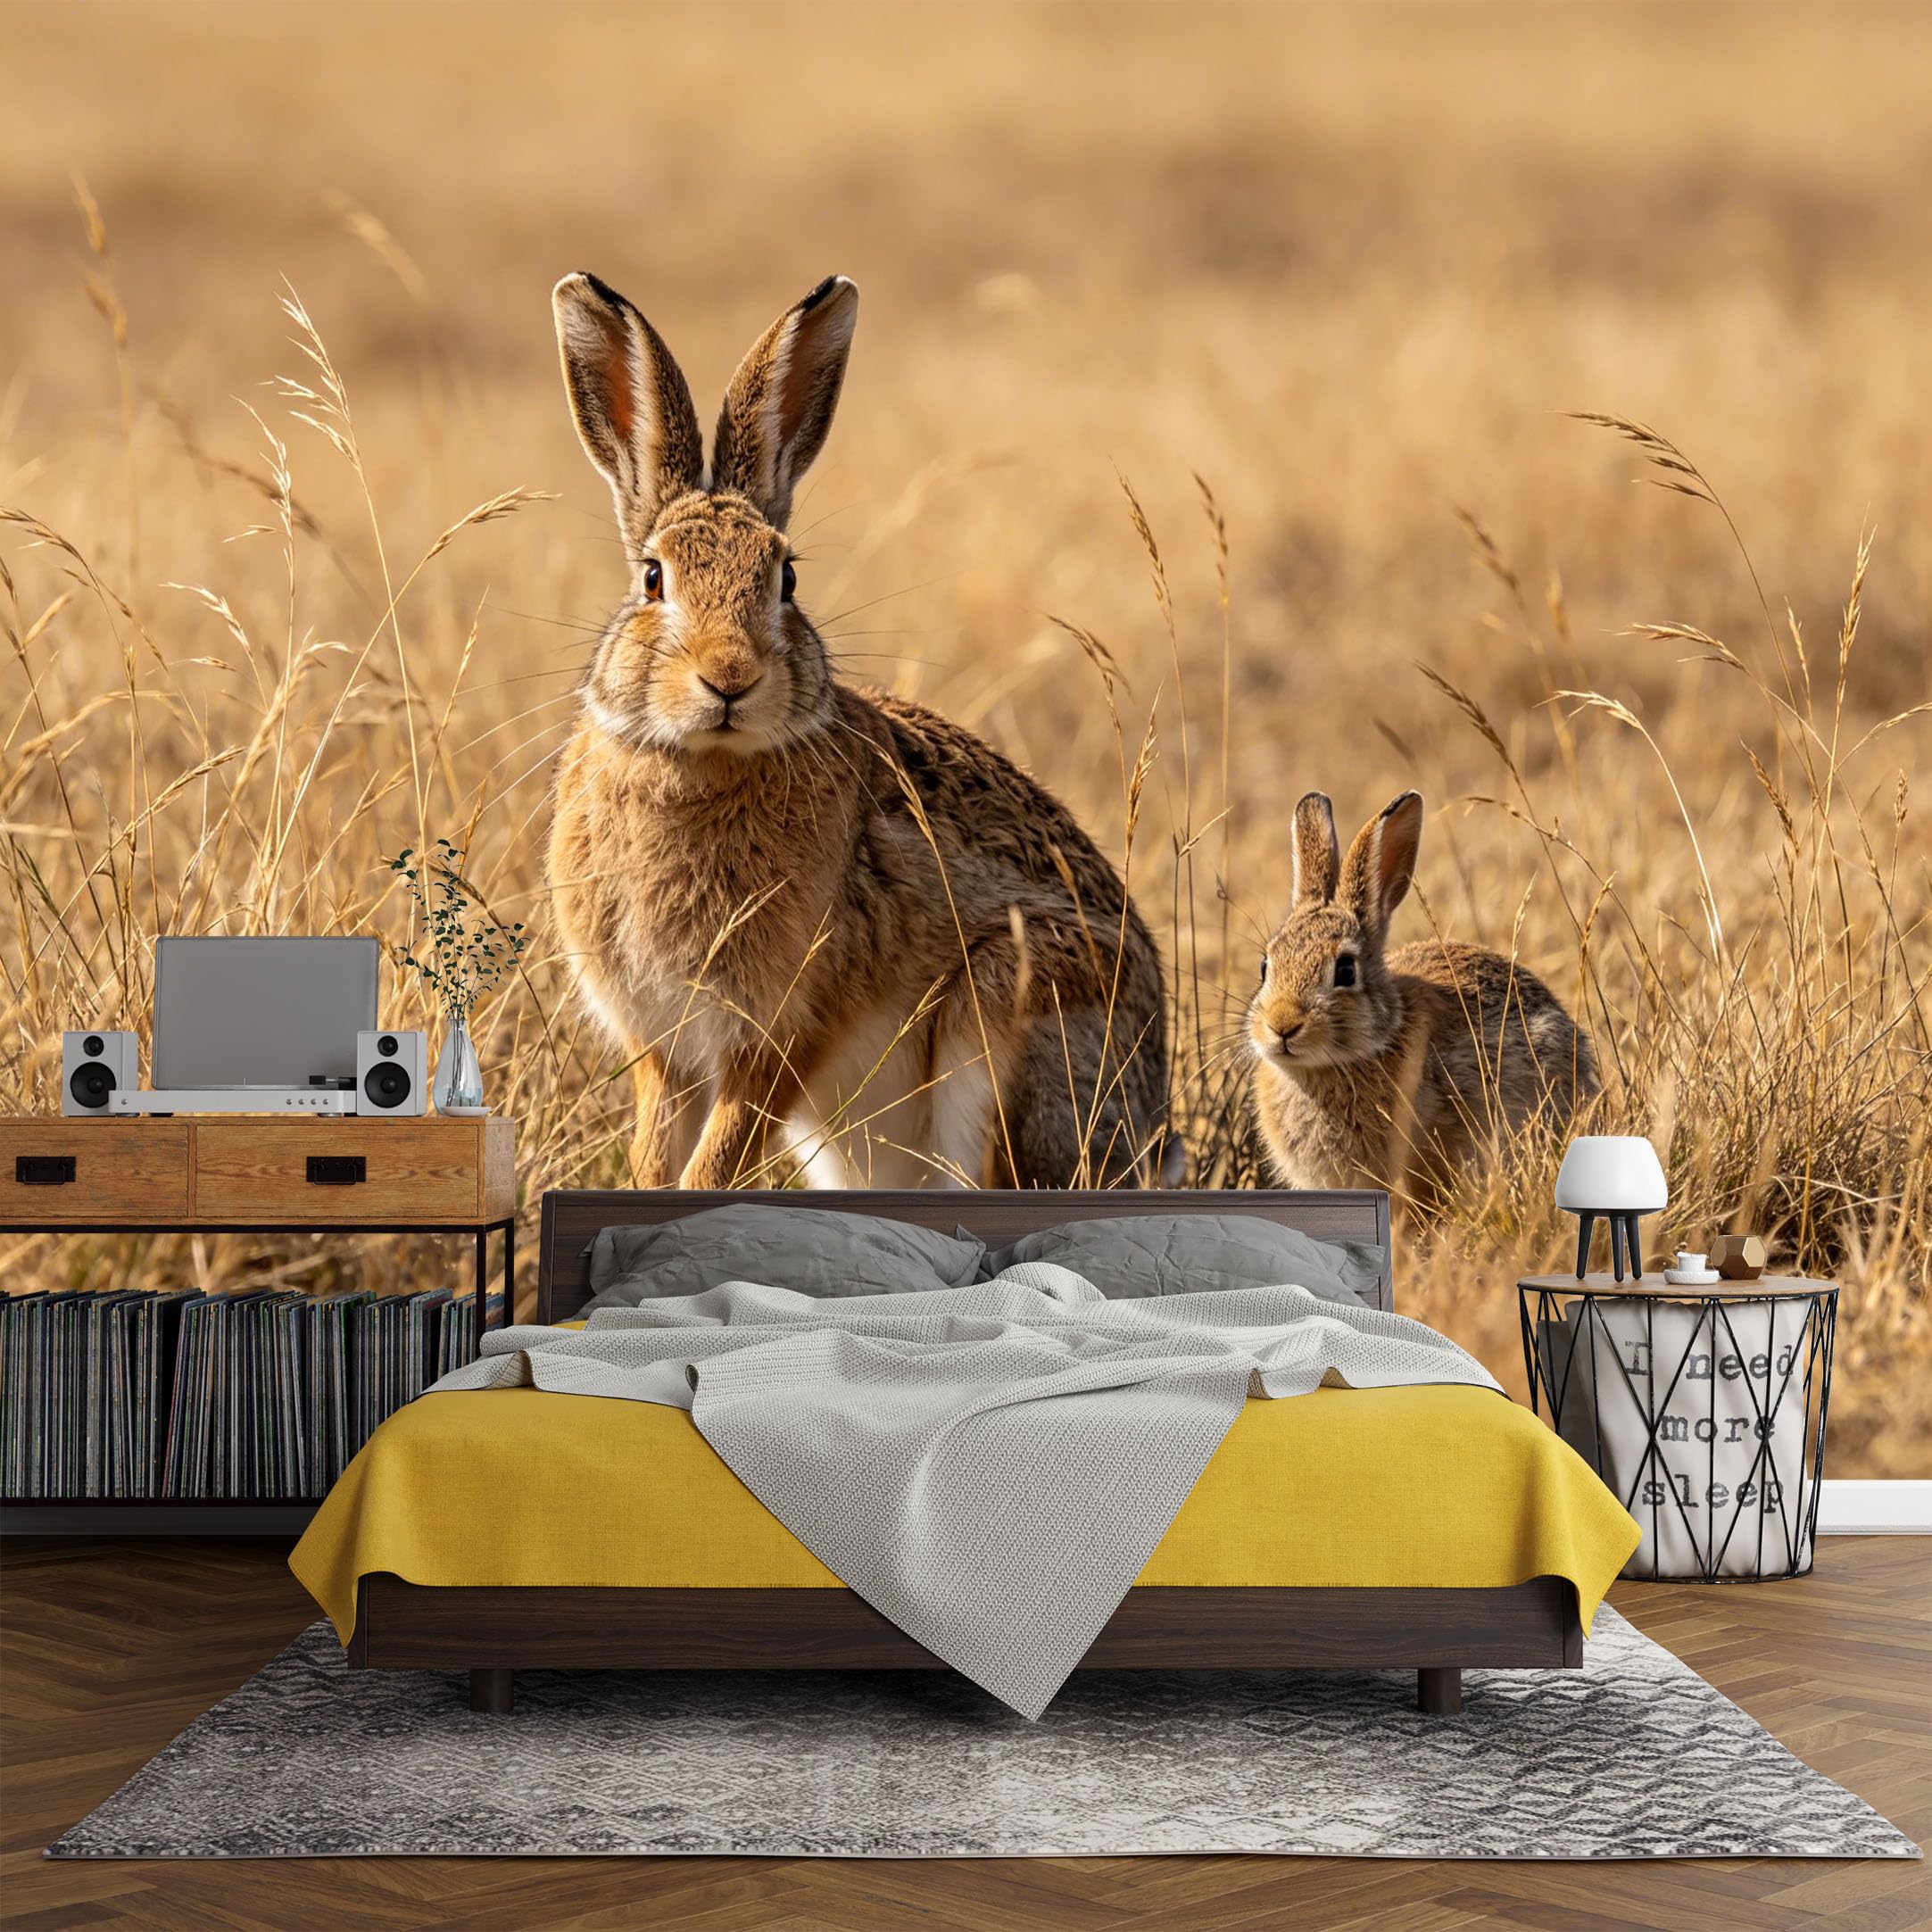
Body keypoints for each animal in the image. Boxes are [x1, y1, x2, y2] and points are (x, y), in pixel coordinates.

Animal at [546, 271, 1175, 1192]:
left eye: (786, 578)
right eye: (653, 578)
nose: (729, 678)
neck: (703, 762)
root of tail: (1152, 1135)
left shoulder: (779, 1033)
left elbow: (715, 1159)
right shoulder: (664, 1049)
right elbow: (658, 1156)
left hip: (1008, 1016)